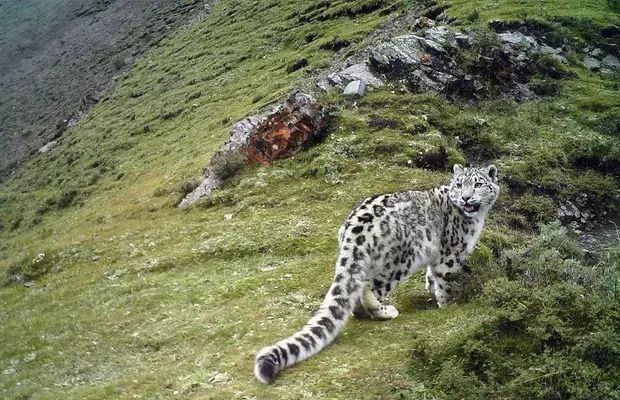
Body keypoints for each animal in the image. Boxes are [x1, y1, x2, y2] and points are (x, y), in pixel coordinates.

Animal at [253, 164, 498, 382]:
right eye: (459, 184)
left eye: (478, 184)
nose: (466, 198)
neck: (476, 219)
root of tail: (353, 229)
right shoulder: (450, 256)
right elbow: (445, 282)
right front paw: (449, 304)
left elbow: (432, 275)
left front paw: (430, 287)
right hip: (401, 260)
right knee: (368, 288)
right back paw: (385, 311)